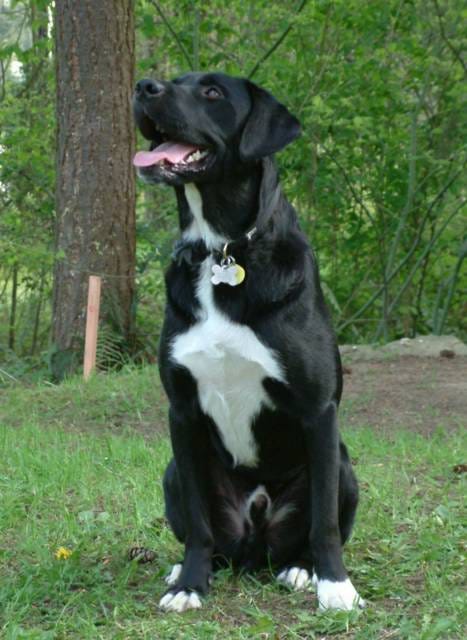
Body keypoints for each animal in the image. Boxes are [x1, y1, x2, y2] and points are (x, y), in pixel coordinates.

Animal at [133, 72, 364, 612]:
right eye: (174, 80)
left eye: (212, 92)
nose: (144, 86)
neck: (222, 250)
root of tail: (256, 544)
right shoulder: (183, 412)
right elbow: (199, 524)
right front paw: (190, 584)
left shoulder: (319, 410)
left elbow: (324, 520)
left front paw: (336, 587)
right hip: (173, 471)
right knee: (215, 537)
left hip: (344, 464)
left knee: (311, 526)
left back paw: (301, 568)